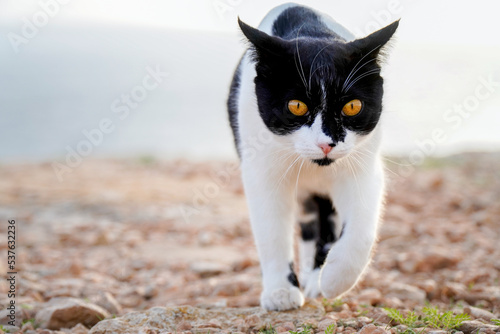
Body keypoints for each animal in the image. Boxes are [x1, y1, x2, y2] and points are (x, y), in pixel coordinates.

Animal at [228, 3, 398, 310]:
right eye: (296, 106)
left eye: (352, 106)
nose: (326, 143)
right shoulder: (262, 173)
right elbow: (271, 232)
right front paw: (280, 291)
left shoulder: (362, 167)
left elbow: (361, 229)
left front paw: (334, 279)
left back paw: (317, 277)